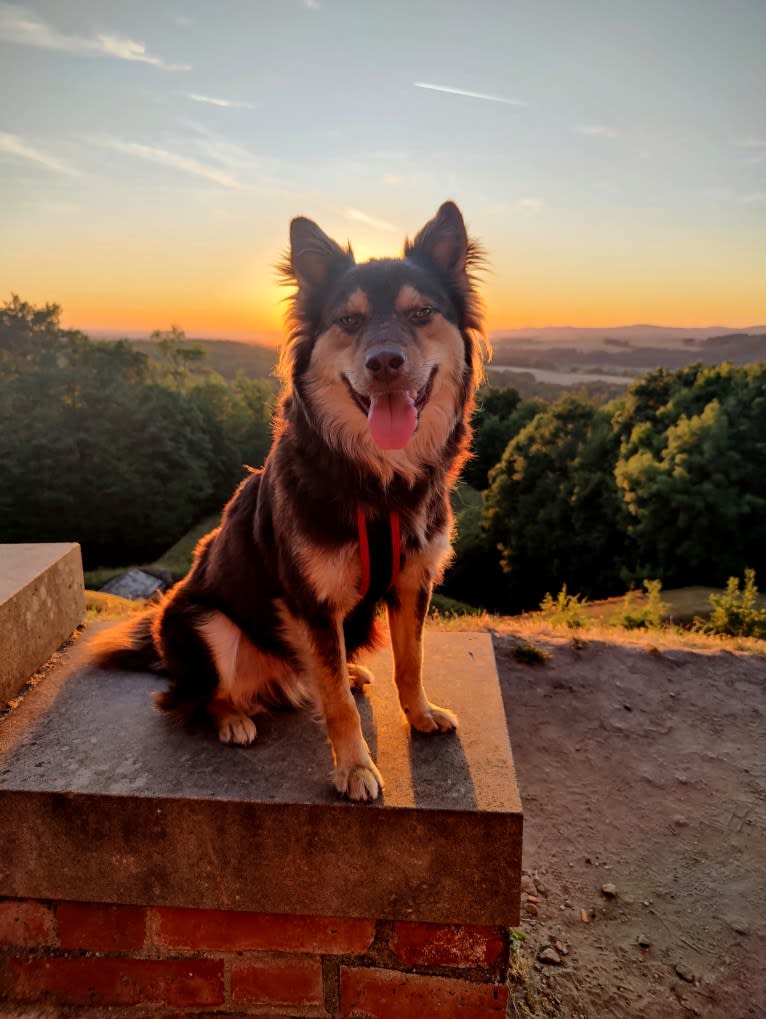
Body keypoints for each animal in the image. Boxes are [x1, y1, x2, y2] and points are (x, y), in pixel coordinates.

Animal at [91, 198, 484, 798]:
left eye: (421, 314)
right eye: (349, 321)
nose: (385, 362)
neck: (377, 480)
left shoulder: (413, 579)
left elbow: (410, 661)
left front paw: (419, 715)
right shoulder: (313, 601)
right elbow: (338, 703)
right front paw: (355, 768)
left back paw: (345, 671)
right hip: (204, 621)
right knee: (197, 698)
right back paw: (233, 717)